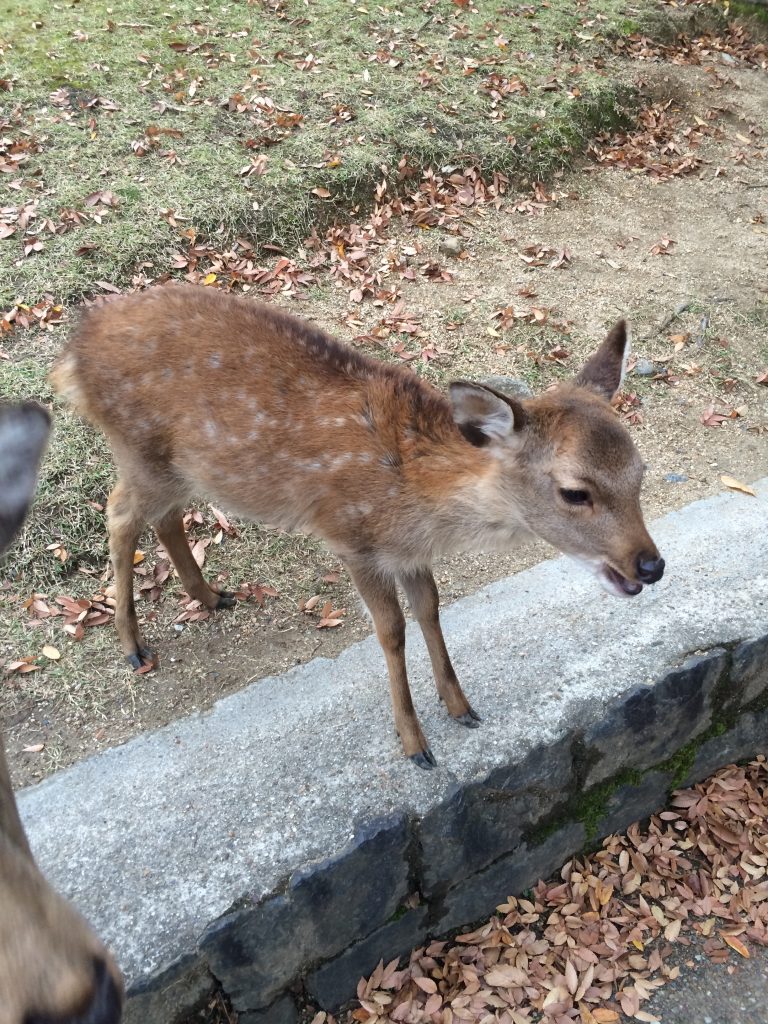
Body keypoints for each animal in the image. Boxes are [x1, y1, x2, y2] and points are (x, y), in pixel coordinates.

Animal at [55, 286, 667, 770]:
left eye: (640, 471)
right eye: (575, 491)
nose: (652, 565)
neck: (416, 499)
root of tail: (72, 352)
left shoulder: (409, 553)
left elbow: (431, 609)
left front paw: (460, 707)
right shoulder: (351, 537)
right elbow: (391, 631)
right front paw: (414, 744)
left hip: (180, 468)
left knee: (162, 518)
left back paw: (210, 596)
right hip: (141, 451)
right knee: (118, 513)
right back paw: (134, 645)